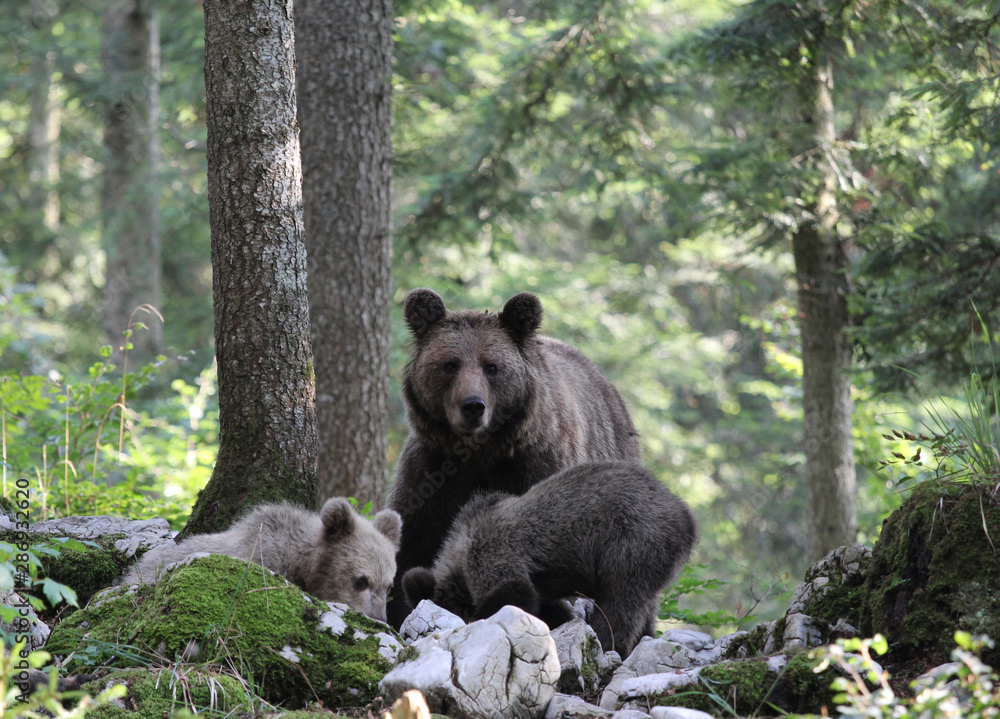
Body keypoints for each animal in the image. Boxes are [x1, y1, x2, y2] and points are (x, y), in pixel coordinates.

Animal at [386, 288, 643, 627]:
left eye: (491, 366)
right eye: (449, 365)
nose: (473, 405)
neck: (482, 450)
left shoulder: (535, 465)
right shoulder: (434, 469)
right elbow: (413, 538)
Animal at [401, 461, 697, 658]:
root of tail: (687, 518)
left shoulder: (491, 550)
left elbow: (513, 593)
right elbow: (547, 609)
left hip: (631, 540)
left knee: (620, 603)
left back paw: (609, 644)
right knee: (644, 606)